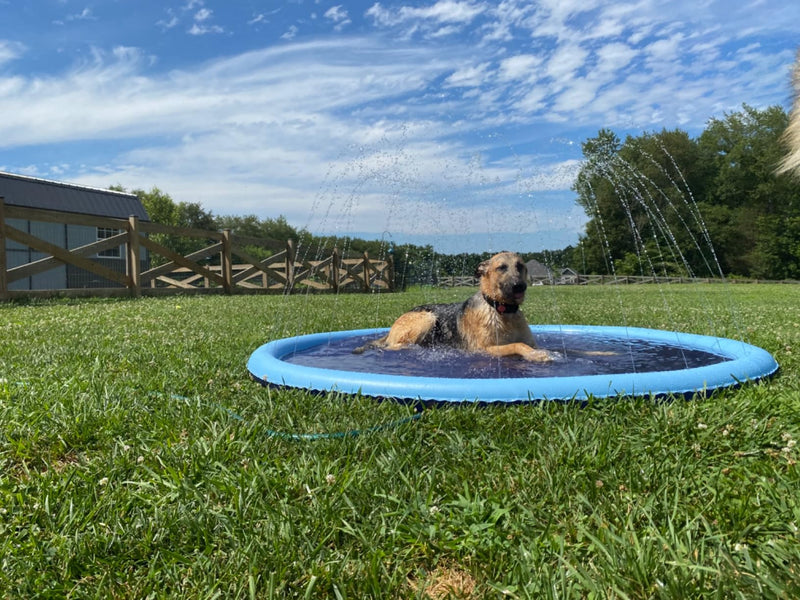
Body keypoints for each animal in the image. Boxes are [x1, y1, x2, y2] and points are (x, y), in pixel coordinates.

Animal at [358, 250, 552, 360]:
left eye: (520, 266)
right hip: (427, 317)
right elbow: (517, 345)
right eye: (501, 267)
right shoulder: (484, 349)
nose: (519, 286)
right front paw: (535, 355)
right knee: (395, 346)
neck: (502, 310)